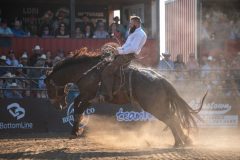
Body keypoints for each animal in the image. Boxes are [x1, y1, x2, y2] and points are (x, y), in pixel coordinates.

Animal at [44, 42, 206, 146]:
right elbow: (79, 108)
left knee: (170, 119)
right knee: (174, 117)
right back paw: (185, 141)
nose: (58, 106)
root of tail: (161, 79)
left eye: (48, 87)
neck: (87, 71)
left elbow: (77, 107)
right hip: (160, 105)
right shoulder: (89, 98)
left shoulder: (86, 95)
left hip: (154, 107)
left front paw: (75, 131)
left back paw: (179, 142)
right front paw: (77, 130)